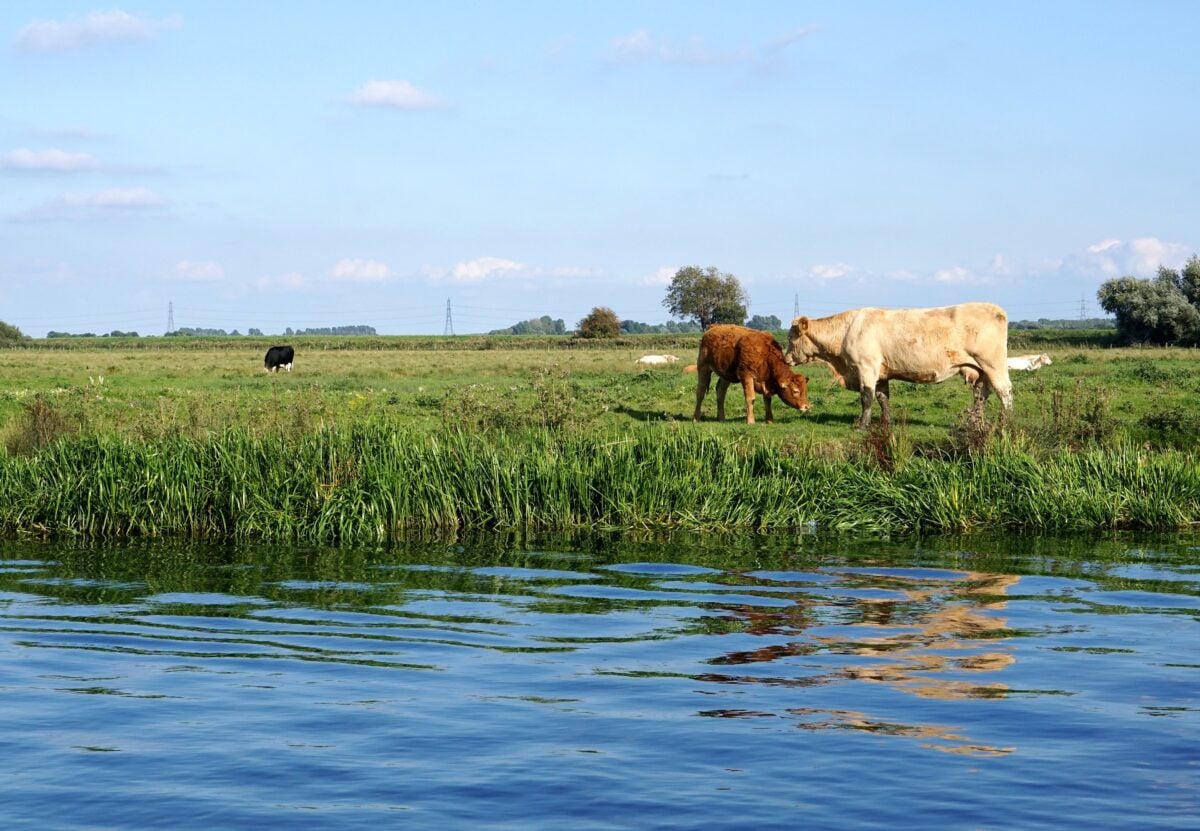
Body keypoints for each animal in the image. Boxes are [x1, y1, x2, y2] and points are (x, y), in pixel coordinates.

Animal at [787, 301, 1012, 427]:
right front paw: (885, 424)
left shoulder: (866, 367)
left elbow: (866, 398)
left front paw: (862, 425)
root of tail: (996, 309)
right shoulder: (881, 373)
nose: (787, 358)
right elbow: (882, 398)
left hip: (993, 364)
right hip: (981, 370)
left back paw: (1006, 424)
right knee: (981, 395)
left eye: (791, 337)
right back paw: (973, 423)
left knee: (1005, 392)